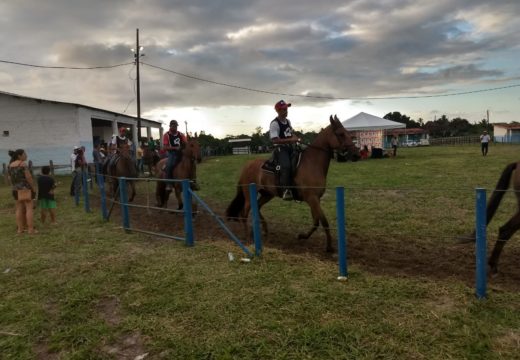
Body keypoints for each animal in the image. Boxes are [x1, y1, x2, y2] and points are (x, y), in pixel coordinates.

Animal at [225, 115, 360, 253]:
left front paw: (302, 236)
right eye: (341, 134)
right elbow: (324, 221)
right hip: (248, 194)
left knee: (256, 207)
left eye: (348, 133)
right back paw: (247, 236)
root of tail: (247, 166)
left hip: (267, 194)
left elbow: (316, 221)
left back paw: (264, 230)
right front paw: (329, 247)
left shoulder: (315, 199)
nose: (356, 154)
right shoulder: (312, 199)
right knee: (244, 213)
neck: (312, 163)